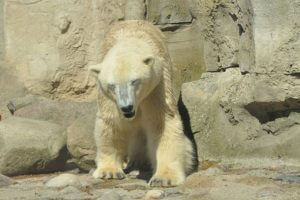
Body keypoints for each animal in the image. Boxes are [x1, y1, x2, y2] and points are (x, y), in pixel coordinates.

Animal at [89, 19, 196, 186]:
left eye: (134, 81)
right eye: (112, 85)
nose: (127, 108)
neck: (130, 37)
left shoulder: (156, 86)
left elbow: (161, 123)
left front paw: (164, 178)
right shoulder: (109, 98)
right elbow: (111, 122)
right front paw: (109, 171)